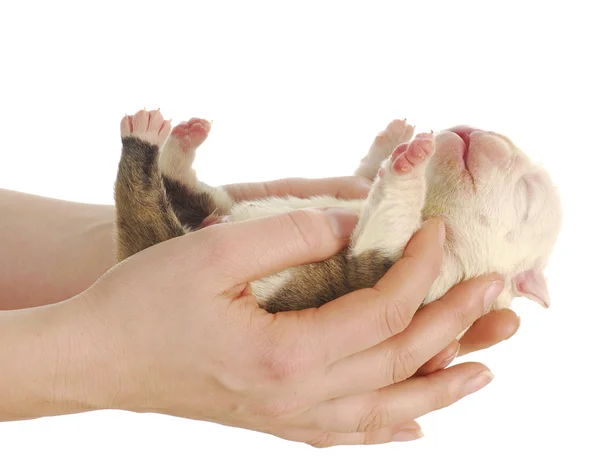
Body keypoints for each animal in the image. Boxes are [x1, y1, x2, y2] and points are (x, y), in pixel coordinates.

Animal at [116, 108, 564, 316]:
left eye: (526, 194)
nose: (477, 130)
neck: (435, 209)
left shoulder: (398, 270)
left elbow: (383, 228)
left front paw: (410, 163)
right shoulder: (362, 195)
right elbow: (366, 177)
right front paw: (395, 141)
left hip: (157, 236)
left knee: (143, 202)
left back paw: (143, 138)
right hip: (208, 209)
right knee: (194, 191)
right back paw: (182, 140)